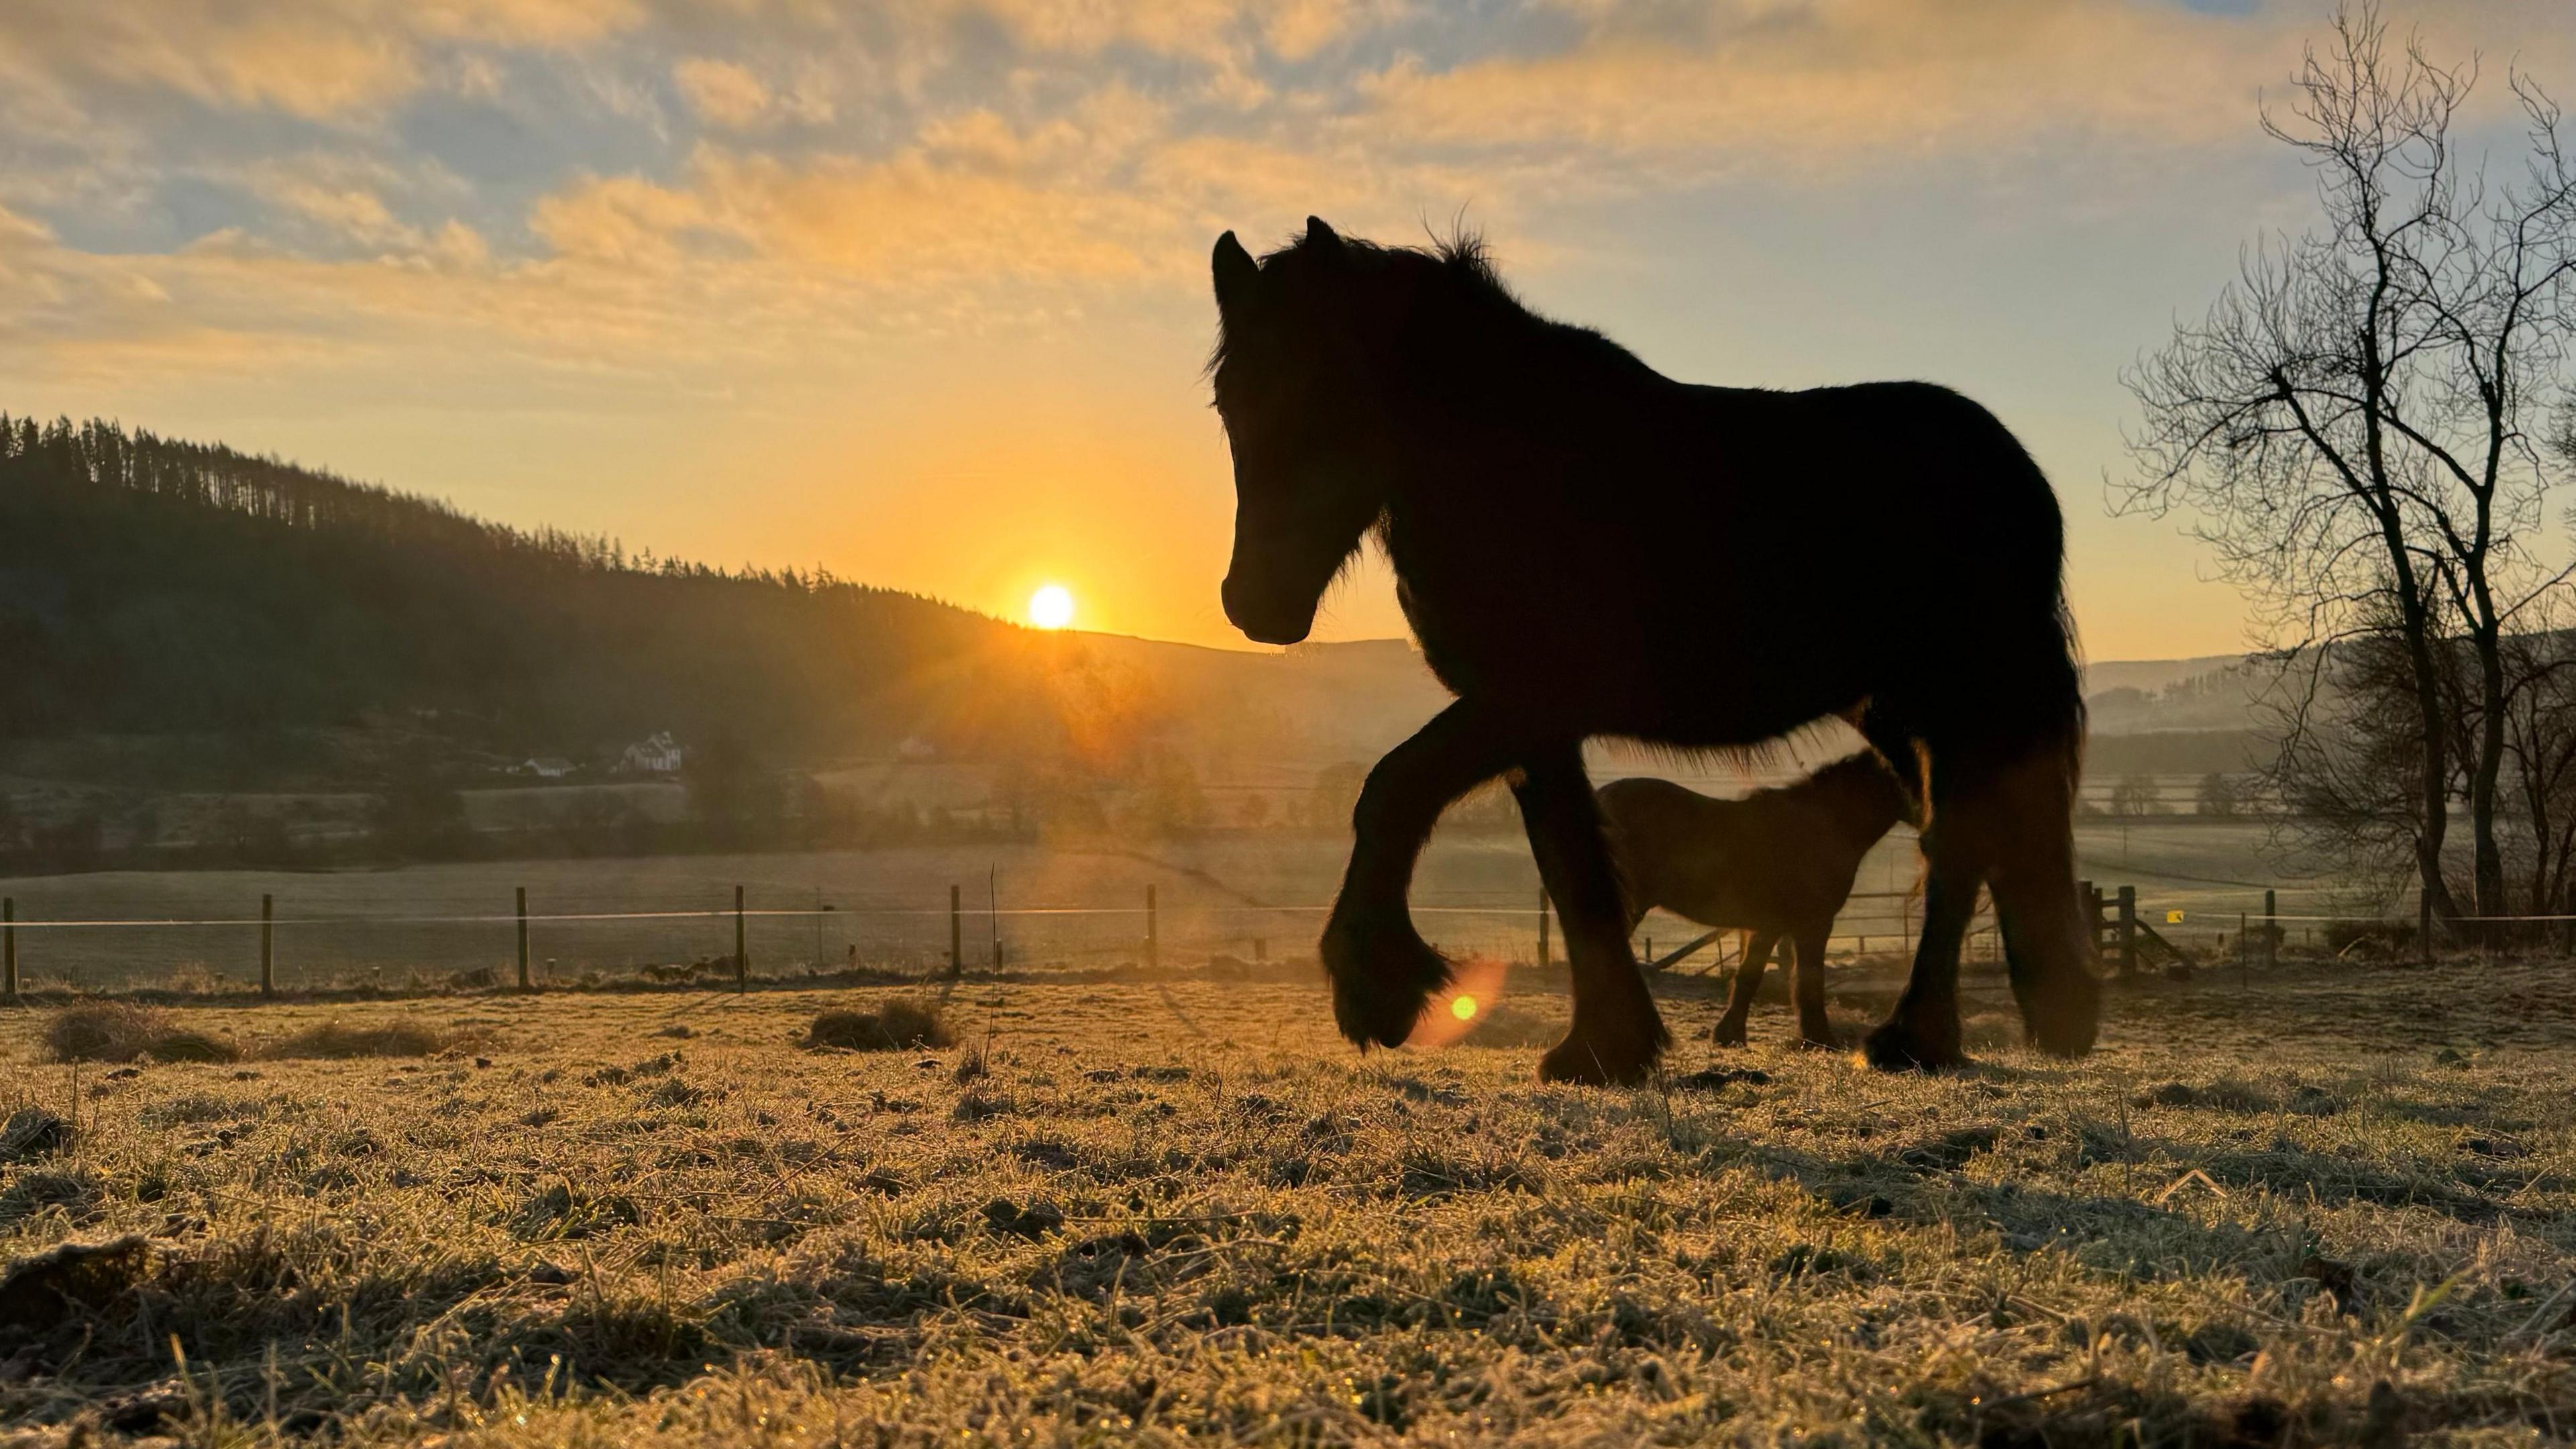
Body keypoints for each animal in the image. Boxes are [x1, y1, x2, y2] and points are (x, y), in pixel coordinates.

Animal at [1597, 747, 1906, 1041]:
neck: (1824, 824)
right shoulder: (1805, 924)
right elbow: (1792, 978)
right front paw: (1817, 1037)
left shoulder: (1776, 926)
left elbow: (1767, 975)